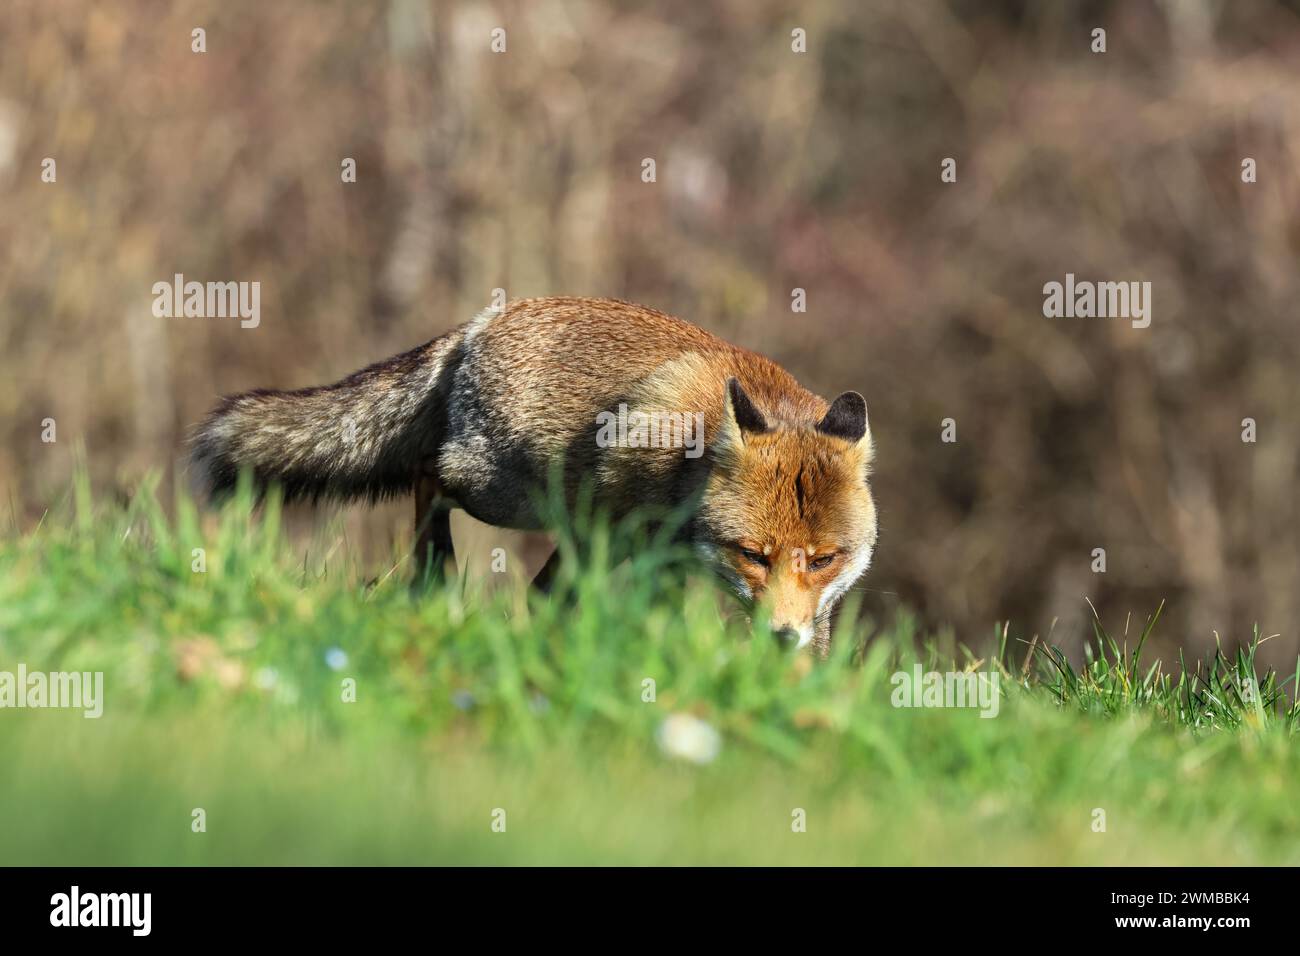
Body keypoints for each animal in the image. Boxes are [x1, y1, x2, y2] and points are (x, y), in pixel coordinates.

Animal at [190, 296, 878, 653]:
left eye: (824, 560)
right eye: (753, 555)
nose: (781, 637)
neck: (688, 464)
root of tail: (478, 322)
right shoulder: (631, 542)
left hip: (568, 527)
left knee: (539, 594)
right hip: (505, 493)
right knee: (427, 472)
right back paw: (434, 572)